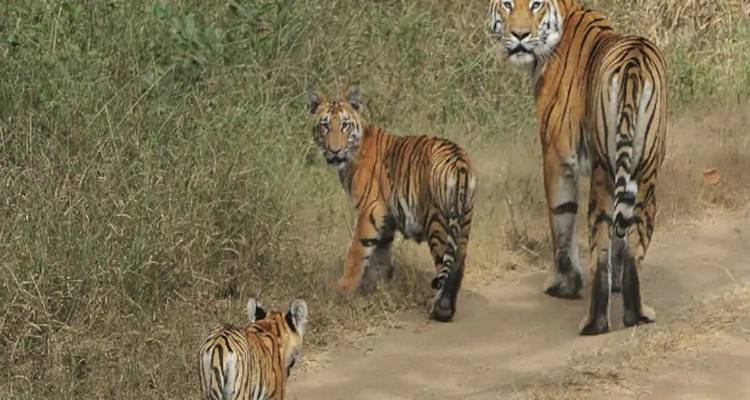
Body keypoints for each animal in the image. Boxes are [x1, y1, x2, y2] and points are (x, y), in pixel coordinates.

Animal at [307, 87, 476, 322]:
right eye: (324, 125)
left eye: (344, 125)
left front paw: (343, 289)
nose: (334, 150)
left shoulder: (369, 209)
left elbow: (356, 251)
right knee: (459, 261)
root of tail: (459, 162)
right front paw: (379, 288)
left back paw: (440, 310)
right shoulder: (386, 217)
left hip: (437, 222)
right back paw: (447, 308)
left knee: (446, 264)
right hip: (464, 220)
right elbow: (382, 254)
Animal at [488, 0, 667, 335]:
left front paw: (564, 285)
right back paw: (637, 314)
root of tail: (635, 63)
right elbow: (620, 240)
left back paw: (595, 322)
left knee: (599, 250)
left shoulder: (556, 156)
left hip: (604, 174)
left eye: (535, 4)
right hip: (646, 172)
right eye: (507, 4)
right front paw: (616, 285)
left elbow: (560, 218)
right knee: (634, 242)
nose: (520, 35)